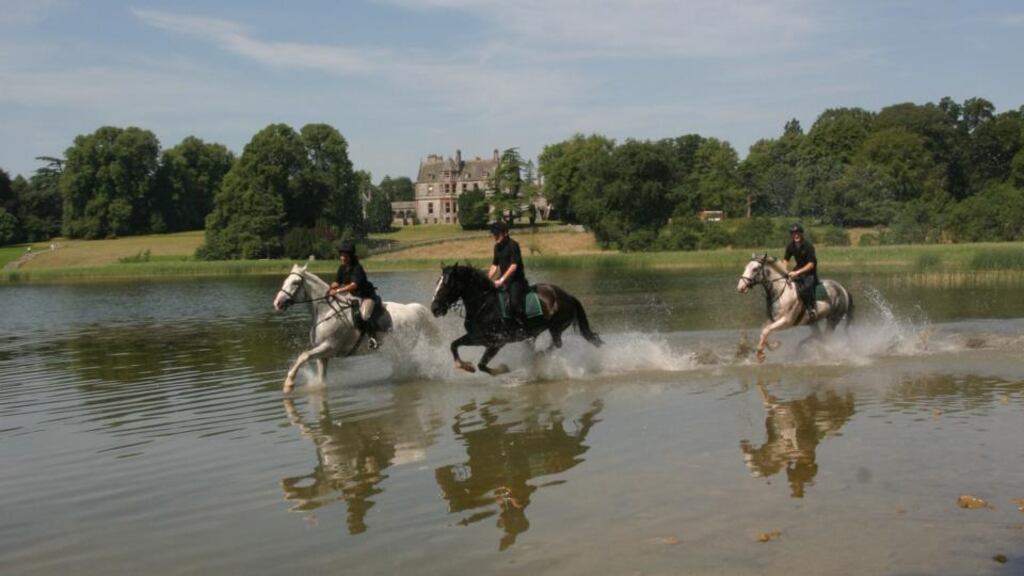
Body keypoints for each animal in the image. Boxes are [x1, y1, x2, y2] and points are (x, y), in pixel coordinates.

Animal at [272, 264, 436, 392]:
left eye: (295, 282)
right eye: (285, 281)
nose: (277, 303)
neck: (327, 312)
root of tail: (412, 309)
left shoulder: (329, 347)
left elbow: (304, 356)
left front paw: (289, 384)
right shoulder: (323, 355)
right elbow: (320, 377)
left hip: (404, 347)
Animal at [429, 262, 603, 375]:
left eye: (447, 284)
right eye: (437, 282)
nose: (434, 309)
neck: (484, 305)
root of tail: (568, 296)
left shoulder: (497, 343)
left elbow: (482, 365)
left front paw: (503, 369)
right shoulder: (477, 338)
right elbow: (454, 345)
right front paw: (465, 366)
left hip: (556, 327)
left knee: (557, 343)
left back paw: (538, 357)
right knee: (548, 343)